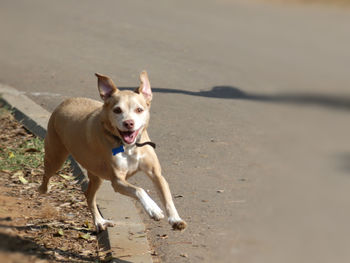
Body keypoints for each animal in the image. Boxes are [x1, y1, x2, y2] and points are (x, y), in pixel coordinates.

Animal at [37, 71, 186, 232]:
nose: (129, 123)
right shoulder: (117, 180)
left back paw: (100, 221)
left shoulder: (155, 174)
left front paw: (175, 219)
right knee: (47, 174)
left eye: (139, 109)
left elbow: (167, 197)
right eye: (117, 110)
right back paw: (43, 189)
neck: (129, 147)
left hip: (96, 175)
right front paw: (153, 209)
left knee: (89, 195)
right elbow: (139, 190)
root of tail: (64, 102)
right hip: (56, 157)